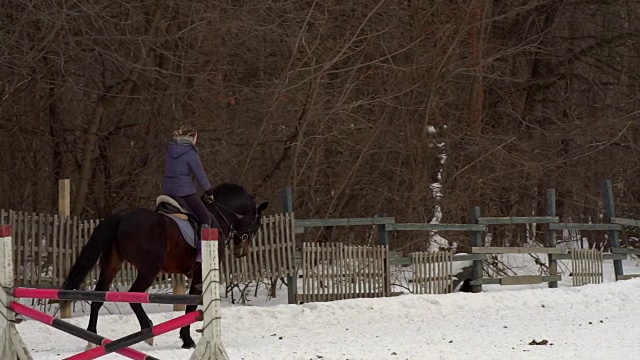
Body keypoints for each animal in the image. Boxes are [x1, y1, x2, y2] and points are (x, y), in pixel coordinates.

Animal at [59, 183, 268, 348]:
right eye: (257, 224)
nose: (241, 252)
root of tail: (121, 216)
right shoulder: (200, 275)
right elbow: (191, 307)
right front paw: (187, 340)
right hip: (148, 269)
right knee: (134, 295)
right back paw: (147, 330)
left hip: (113, 263)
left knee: (98, 296)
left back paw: (92, 338)